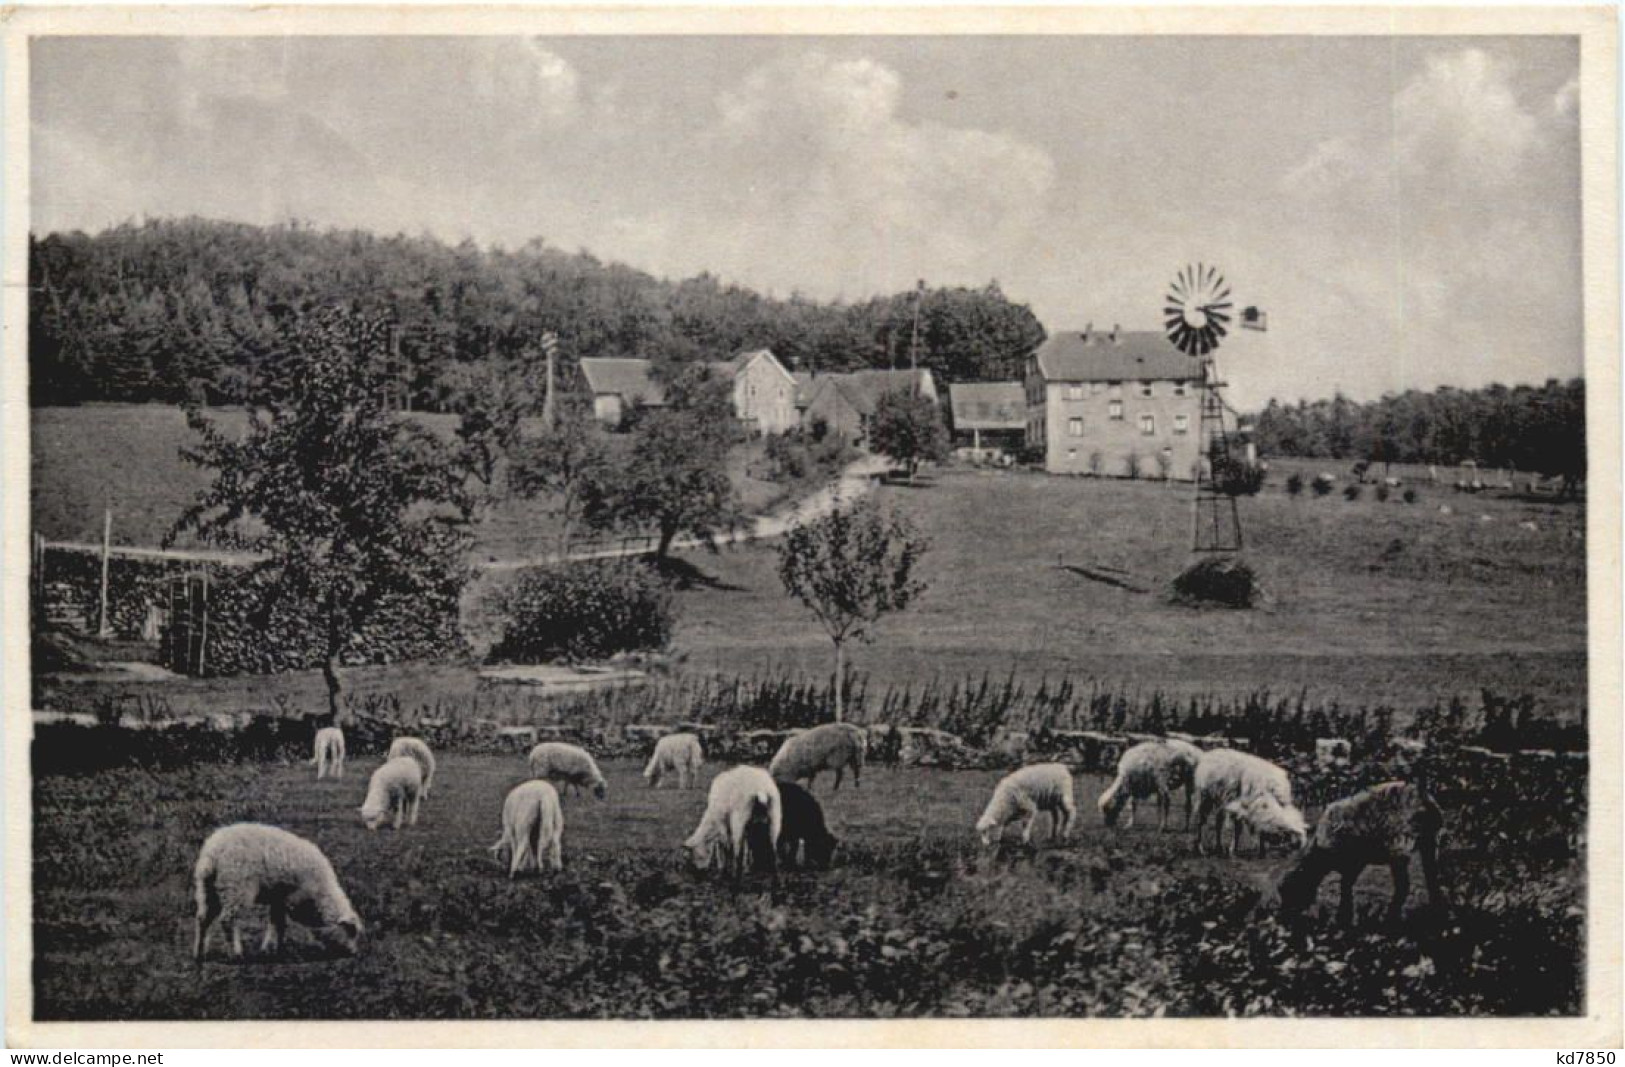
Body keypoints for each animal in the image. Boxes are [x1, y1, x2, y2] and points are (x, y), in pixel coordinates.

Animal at [193, 818, 362, 961]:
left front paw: (273, 948)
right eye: (351, 932)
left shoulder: (278, 898)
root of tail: (212, 854)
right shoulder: (289, 897)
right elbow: (279, 924)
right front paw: (274, 948)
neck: (320, 895)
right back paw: (236, 953)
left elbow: (276, 922)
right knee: (227, 920)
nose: (353, 954)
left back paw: (200, 952)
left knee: (203, 919)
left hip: (208, 888)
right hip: (235, 888)